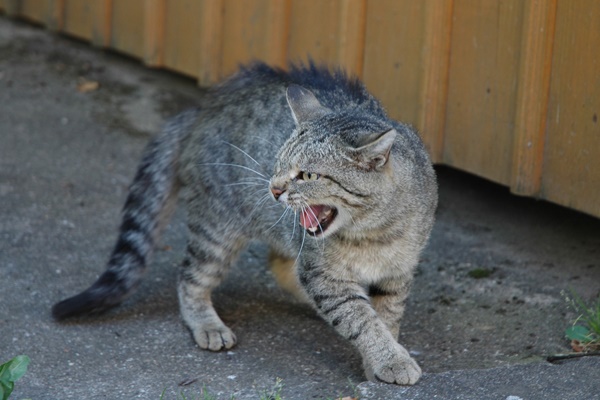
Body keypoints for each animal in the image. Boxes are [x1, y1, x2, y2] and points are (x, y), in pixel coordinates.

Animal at [52, 62, 436, 384]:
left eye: (308, 175)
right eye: (278, 163)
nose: (275, 188)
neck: (373, 233)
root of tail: (204, 106)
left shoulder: (397, 274)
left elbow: (385, 318)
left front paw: (383, 357)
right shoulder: (323, 272)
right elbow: (362, 319)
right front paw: (389, 358)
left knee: (281, 265)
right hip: (217, 229)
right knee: (190, 276)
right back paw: (207, 323)